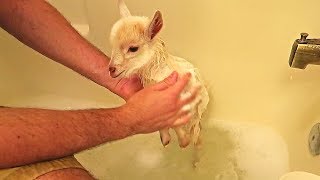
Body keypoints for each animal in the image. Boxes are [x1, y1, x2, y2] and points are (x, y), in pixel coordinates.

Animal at [109, 0, 210, 148]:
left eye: (133, 48)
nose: (111, 69)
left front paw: (184, 141)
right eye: (112, 46)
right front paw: (167, 139)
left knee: (196, 123)